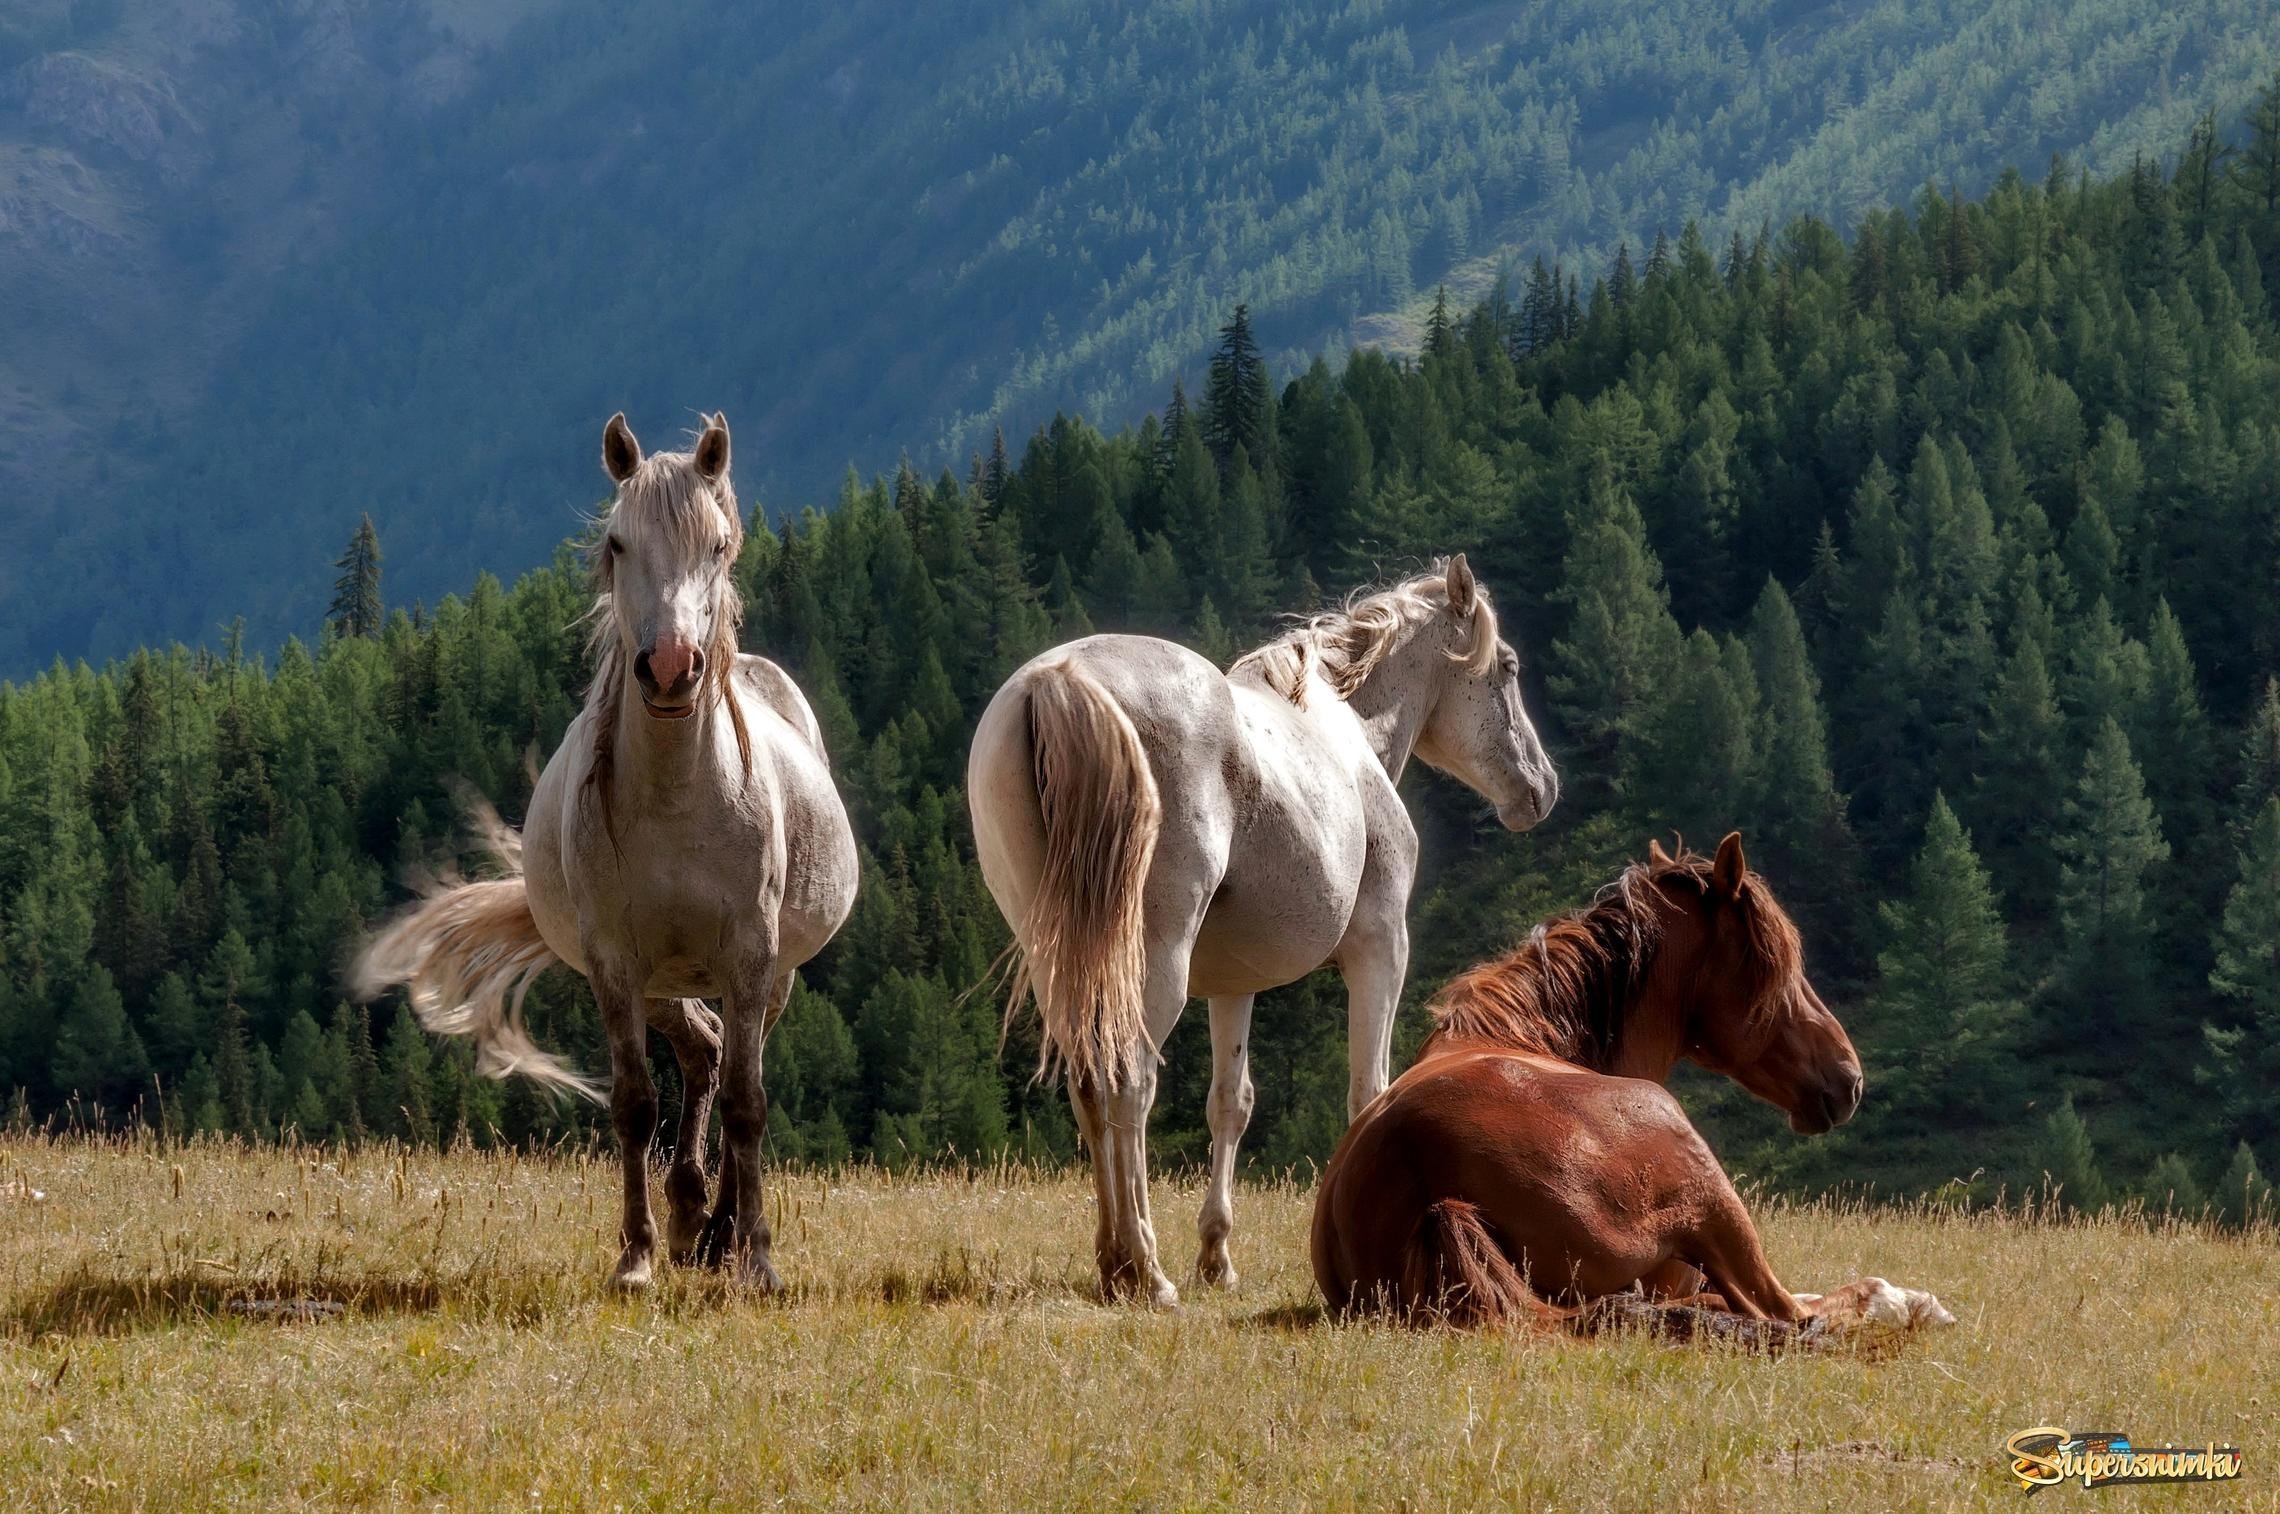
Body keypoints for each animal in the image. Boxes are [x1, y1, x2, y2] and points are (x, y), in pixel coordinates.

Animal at [355, 410, 857, 1285]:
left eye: (719, 544)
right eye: (619, 543)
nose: (670, 667)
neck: (681, 799)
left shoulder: (752, 956)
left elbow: (748, 1103)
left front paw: (758, 1258)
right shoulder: (616, 963)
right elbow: (634, 1103)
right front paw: (638, 1255)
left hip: (771, 976)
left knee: (731, 1062)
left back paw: (724, 1228)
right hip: (658, 980)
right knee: (701, 1052)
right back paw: (693, 1215)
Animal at [971, 554, 1559, 1304]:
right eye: (1507, 667)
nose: (1540, 788)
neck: (1346, 729)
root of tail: (1059, 680)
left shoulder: (1232, 984)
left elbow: (1231, 1102)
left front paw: (1216, 1255)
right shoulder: (1381, 951)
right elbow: (1369, 1092)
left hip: (1065, 961)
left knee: (1089, 1081)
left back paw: (1112, 1262)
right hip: (1152, 962)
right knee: (1128, 1079)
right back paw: (1144, 1268)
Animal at [1313, 839, 1951, 1349]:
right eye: (1776, 966)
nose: (1850, 1078)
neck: (1519, 1033)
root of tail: (1424, 1178)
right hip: (1709, 1190)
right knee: (1792, 1310)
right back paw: (1910, 1303)